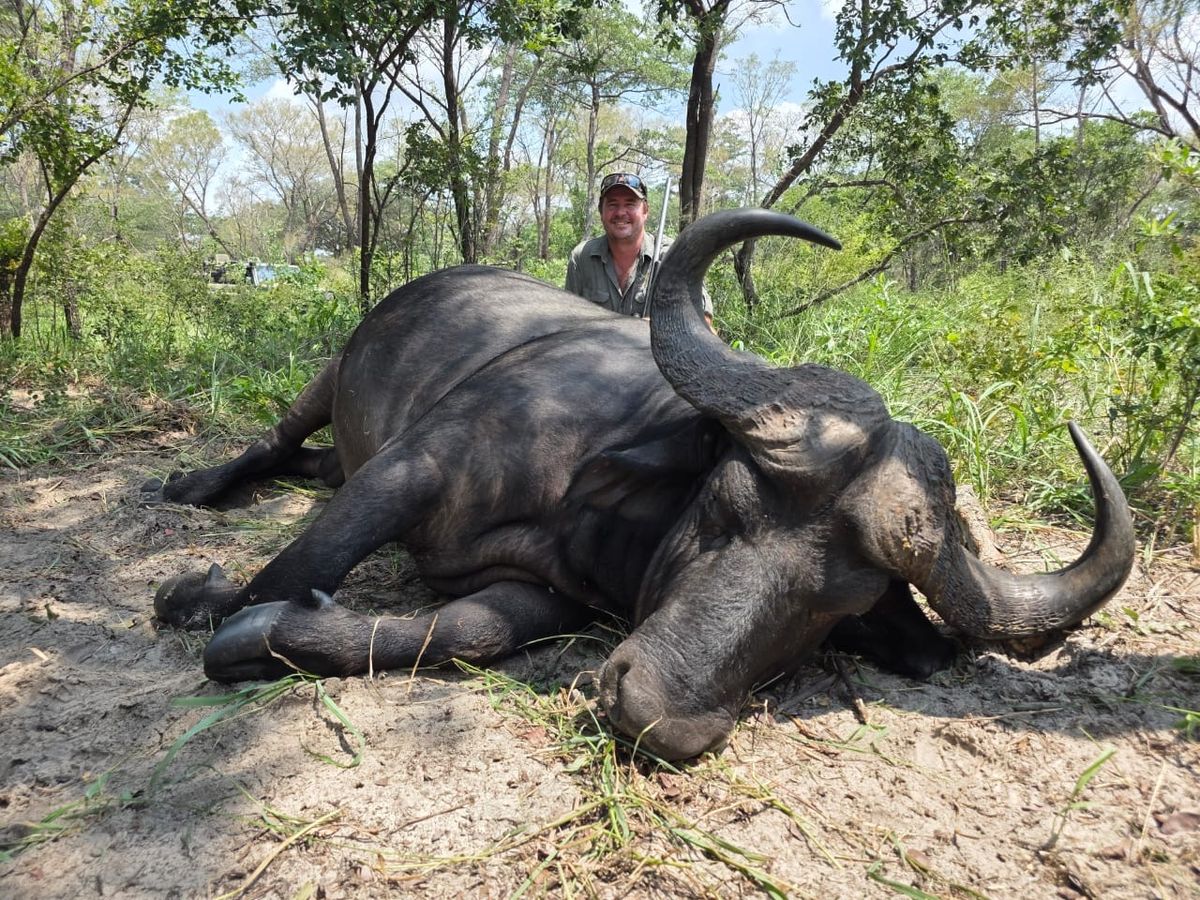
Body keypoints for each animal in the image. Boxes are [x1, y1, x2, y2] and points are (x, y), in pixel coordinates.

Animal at [149, 209, 1135, 761]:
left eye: (842, 608)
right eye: (725, 507)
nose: (655, 711)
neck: (586, 502)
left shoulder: (538, 594)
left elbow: (462, 632)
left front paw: (273, 635)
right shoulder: (411, 468)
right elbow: (308, 558)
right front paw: (213, 605)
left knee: (315, 466)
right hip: (326, 380)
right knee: (274, 442)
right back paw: (195, 484)